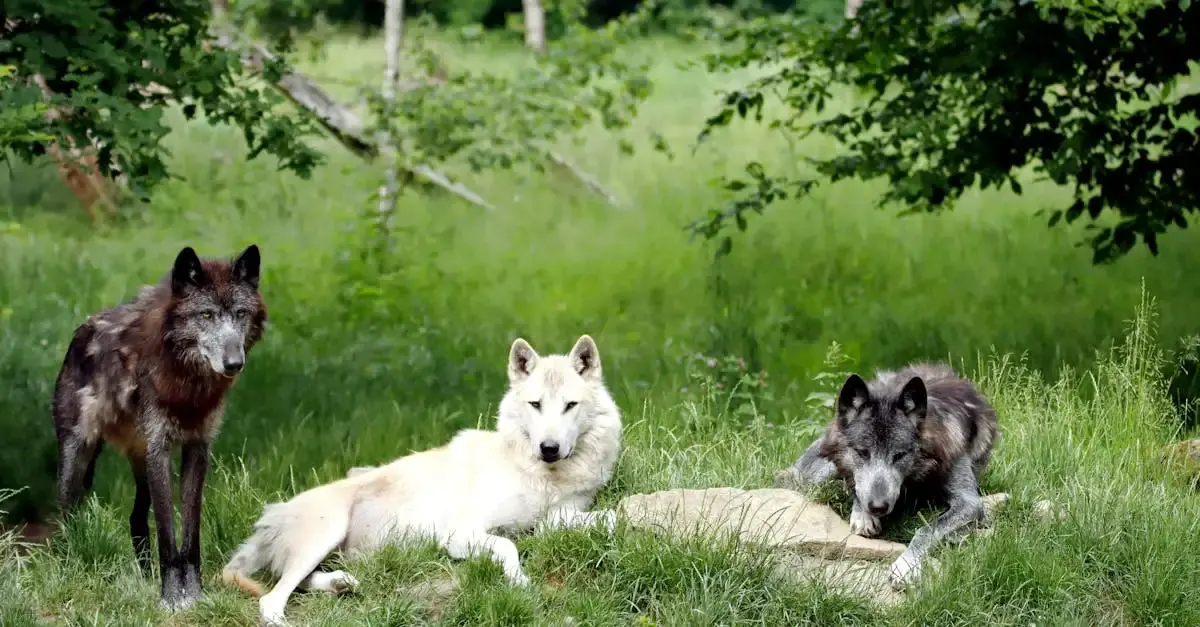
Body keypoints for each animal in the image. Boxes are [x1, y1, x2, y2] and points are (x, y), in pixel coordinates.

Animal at [51, 244, 266, 610]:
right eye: (206, 315)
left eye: (240, 313)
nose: (234, 364)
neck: (187, 385)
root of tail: (80, 331)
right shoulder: (160, 450)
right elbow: (167, 534)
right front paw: (170, 599)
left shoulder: (197, 448)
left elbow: (190, 535)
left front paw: (194, 595)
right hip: (77, 456)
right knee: (64, 517)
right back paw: (66, 570)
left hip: (139, 462)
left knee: (136, 519)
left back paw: (144, 579)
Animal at [220, 334, 623, 626]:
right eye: (536, 405)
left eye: (569, 405)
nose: (549, 448)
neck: (540, 475)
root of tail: (270, 516)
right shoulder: (459, 535)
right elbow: (508, 545)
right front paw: (520, 581)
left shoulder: (558, 518)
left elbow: (608, 517)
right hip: (326, 531)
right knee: (271, 600)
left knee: (299, 583)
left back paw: (341, 585)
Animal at [774, 362, 998, 590]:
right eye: (863, 453)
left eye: (899, 455)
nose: (878, 507)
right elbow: (857, 486)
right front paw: (863, 515)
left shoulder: (969, 502)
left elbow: (926, 529)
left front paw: (906, 564)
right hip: (822, 469)